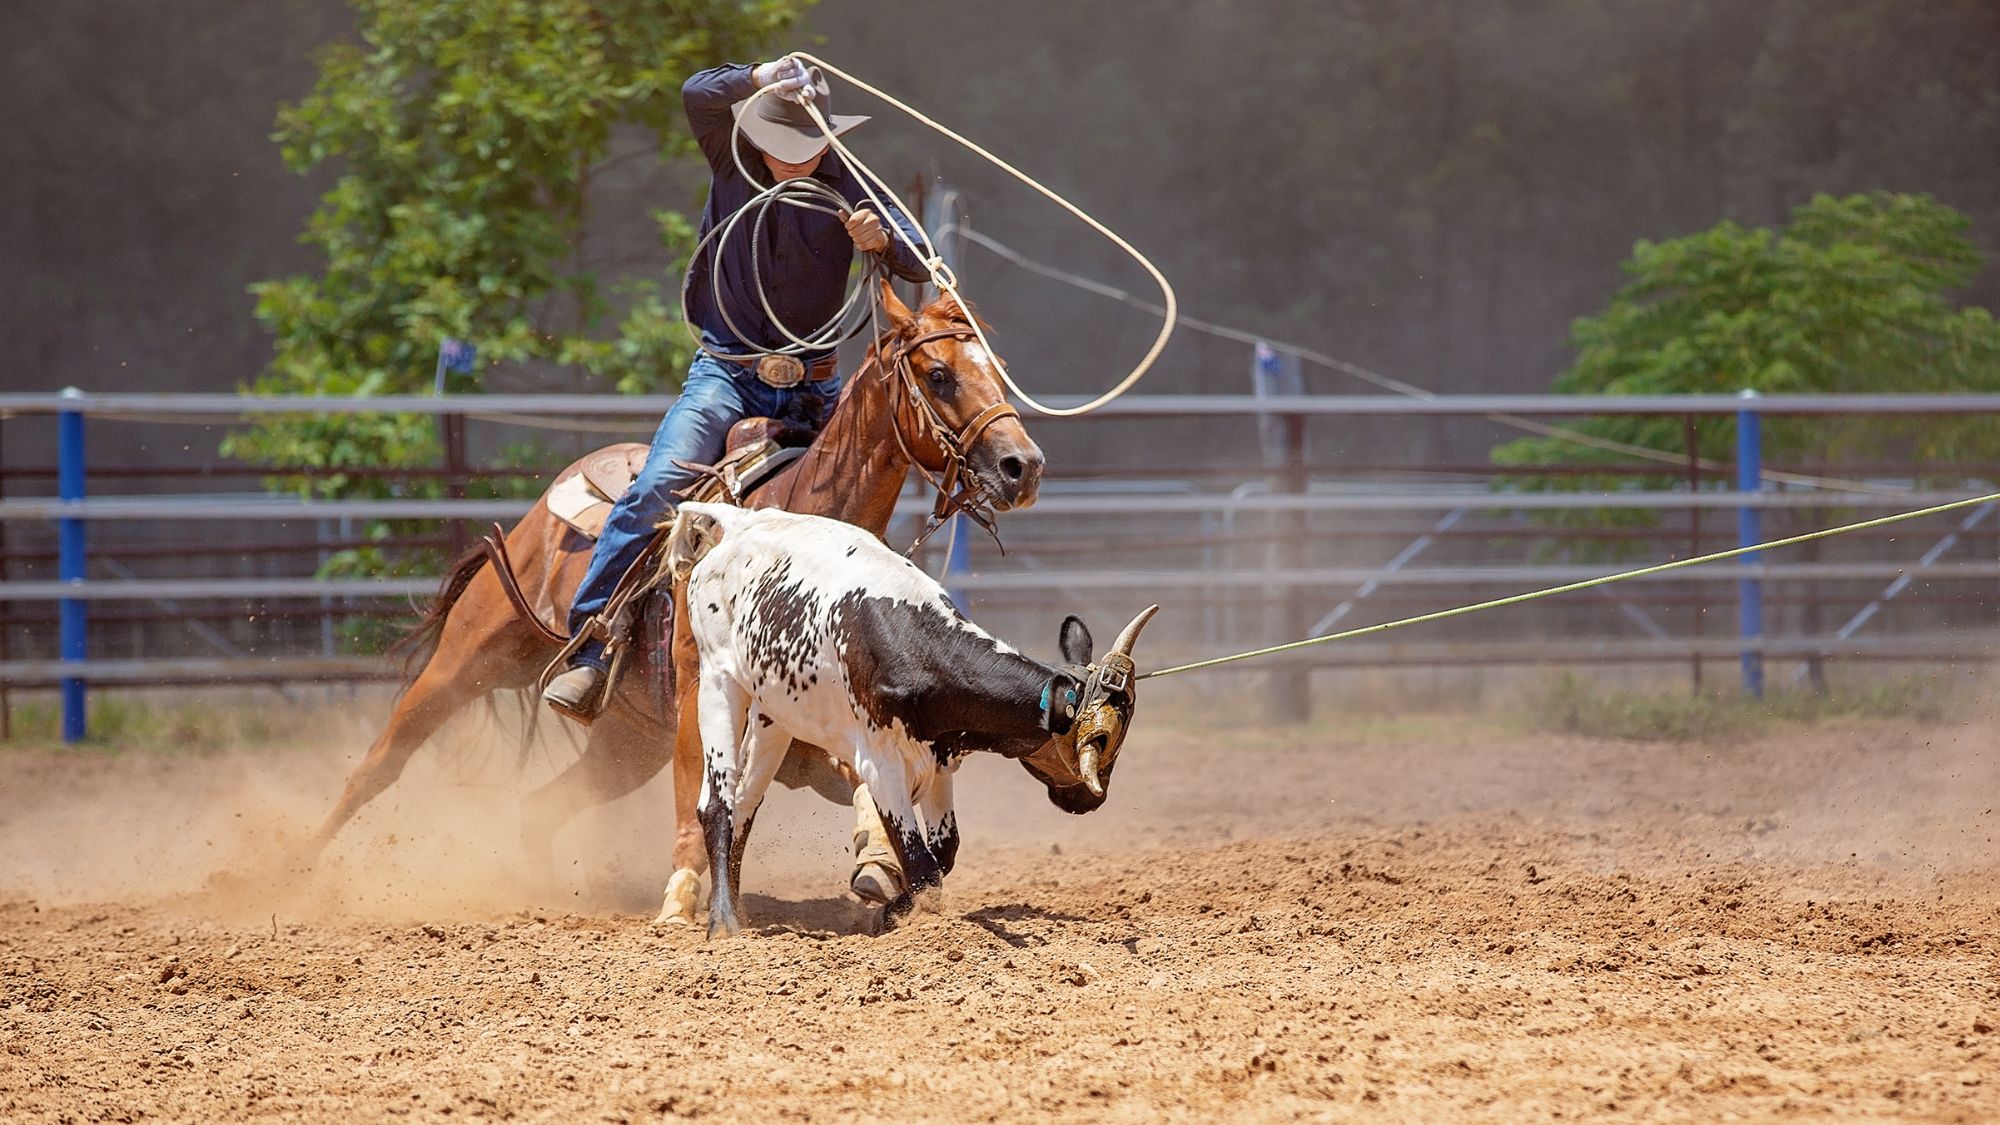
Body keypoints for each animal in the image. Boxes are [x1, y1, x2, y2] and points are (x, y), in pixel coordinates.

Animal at [304, 280, 1048, 912]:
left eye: (997, 369)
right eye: (938, 374)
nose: (1024, 466)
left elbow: (865, 781)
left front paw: (879, 867)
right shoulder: (702, 689)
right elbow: (703, 789)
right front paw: (685, 891)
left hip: (624, 745)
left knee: (544, 805)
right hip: (467, 659)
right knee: (381, 763)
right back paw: (295, 867)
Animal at [672, 504, 1160, 932]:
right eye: (1101, 742)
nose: (1092, 800)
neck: (913, 645)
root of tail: (740, 521)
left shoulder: (939, 763)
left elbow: (943, 852)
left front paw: (886, 909)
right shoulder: (881, 768)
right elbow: (924, 868)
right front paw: (887, 916)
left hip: (773, 716)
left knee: (745, 804)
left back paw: (736, 907)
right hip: (717, 685)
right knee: (717, 805)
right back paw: (723, 922)